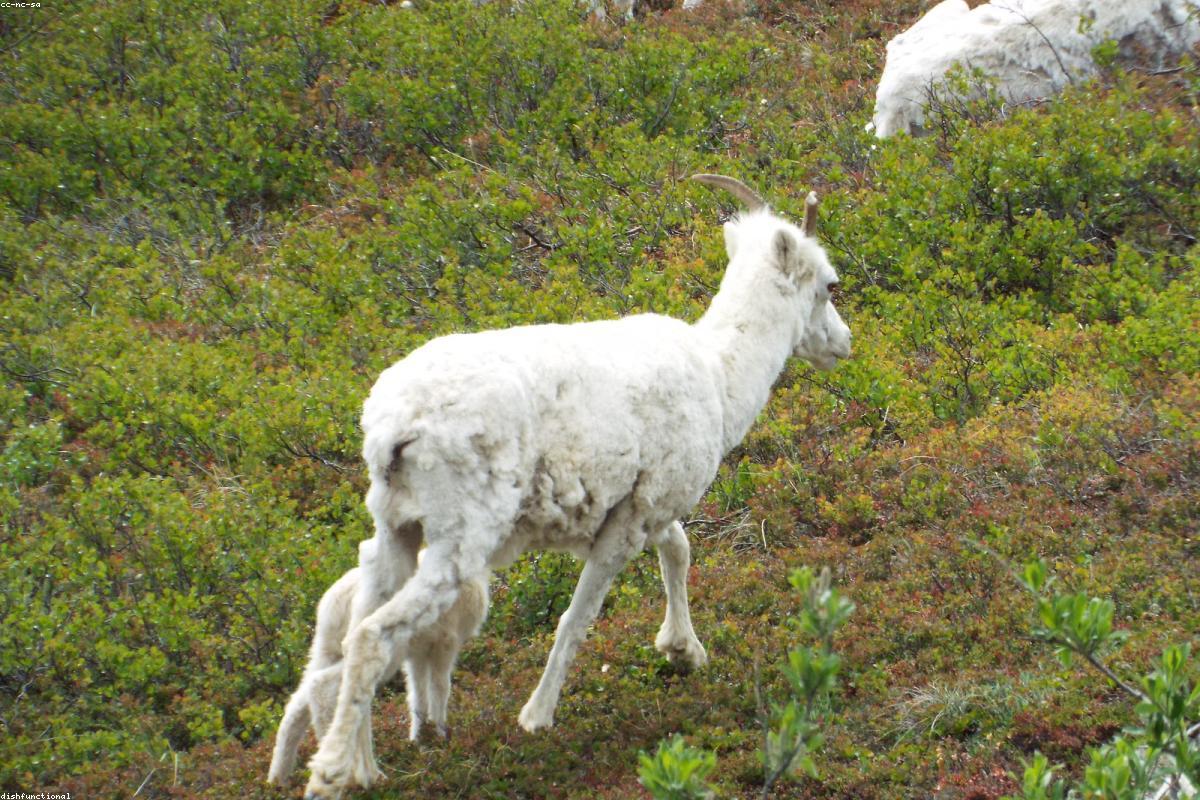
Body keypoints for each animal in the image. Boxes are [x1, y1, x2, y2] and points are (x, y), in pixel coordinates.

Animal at [268, 539, 488, 786]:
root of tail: (336, 601)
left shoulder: (417, 655)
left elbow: (417, 695)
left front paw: (419, 741)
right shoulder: (445, 645)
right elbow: (440, 690)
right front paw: (442, 737)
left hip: (325, 650)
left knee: (299, 702)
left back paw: (279, 778)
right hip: (377, 651)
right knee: (327, 689)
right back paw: (363, 776)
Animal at [302, 174, 852, 799]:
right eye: (829, 285)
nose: (843, 344)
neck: (719, 376)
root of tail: (394, 427)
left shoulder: (644, 508)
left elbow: (678, 552)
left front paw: (683, 651)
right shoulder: (626, 527)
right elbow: (577, 618)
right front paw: (537, 717)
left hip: (395, 531)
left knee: (346, 644)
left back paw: (363, 767)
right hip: (457, 544)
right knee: (373, 637)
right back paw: (333, 774)